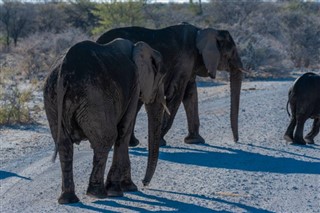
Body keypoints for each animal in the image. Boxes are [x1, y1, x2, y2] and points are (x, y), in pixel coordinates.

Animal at [43, 38, 166, 205]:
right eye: (161, 77)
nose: (144, 183)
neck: (135, 47)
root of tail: (64, 70)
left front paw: (128, 187)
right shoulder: (135, 86)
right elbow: (124, 132)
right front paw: (121, 190)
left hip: (52, 98)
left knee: (63, 143)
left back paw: (68, 200)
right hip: (94, 96)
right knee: (106, 139)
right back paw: (98, 194)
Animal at [96, 22, 244, 146]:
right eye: (231, 53)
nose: (235, 141)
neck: (201, 31)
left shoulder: (190, 66)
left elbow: (190, 95)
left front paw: (194, 141)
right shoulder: (184, 62)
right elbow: (177, 96)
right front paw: (160, 142)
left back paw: (132, 143)